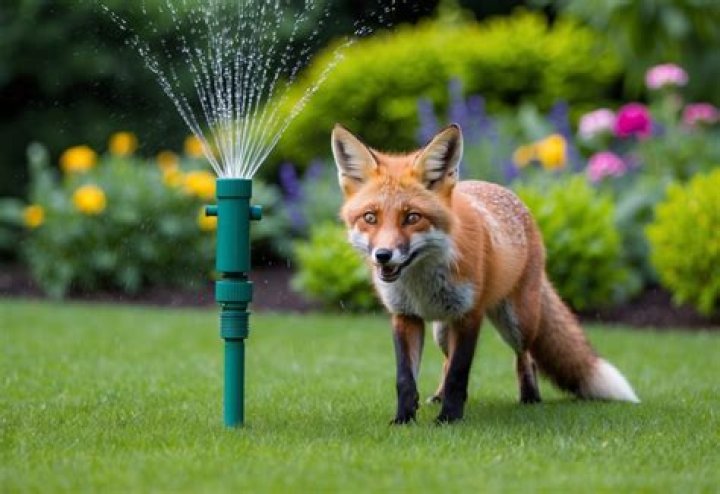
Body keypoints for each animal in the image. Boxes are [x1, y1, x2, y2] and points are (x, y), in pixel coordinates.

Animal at [331, 123, 640, 424]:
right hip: (442, 330)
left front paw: (449, 419)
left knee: (526, 356)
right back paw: (438, 396)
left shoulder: (469, 315)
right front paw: (404, 420)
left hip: (517, 322)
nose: (383, 255)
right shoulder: (405, 316)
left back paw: (530, 398)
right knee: (446, 360)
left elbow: (458, 375)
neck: (420, 282)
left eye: (412, 217)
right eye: (370, 217)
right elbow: (406, 379)